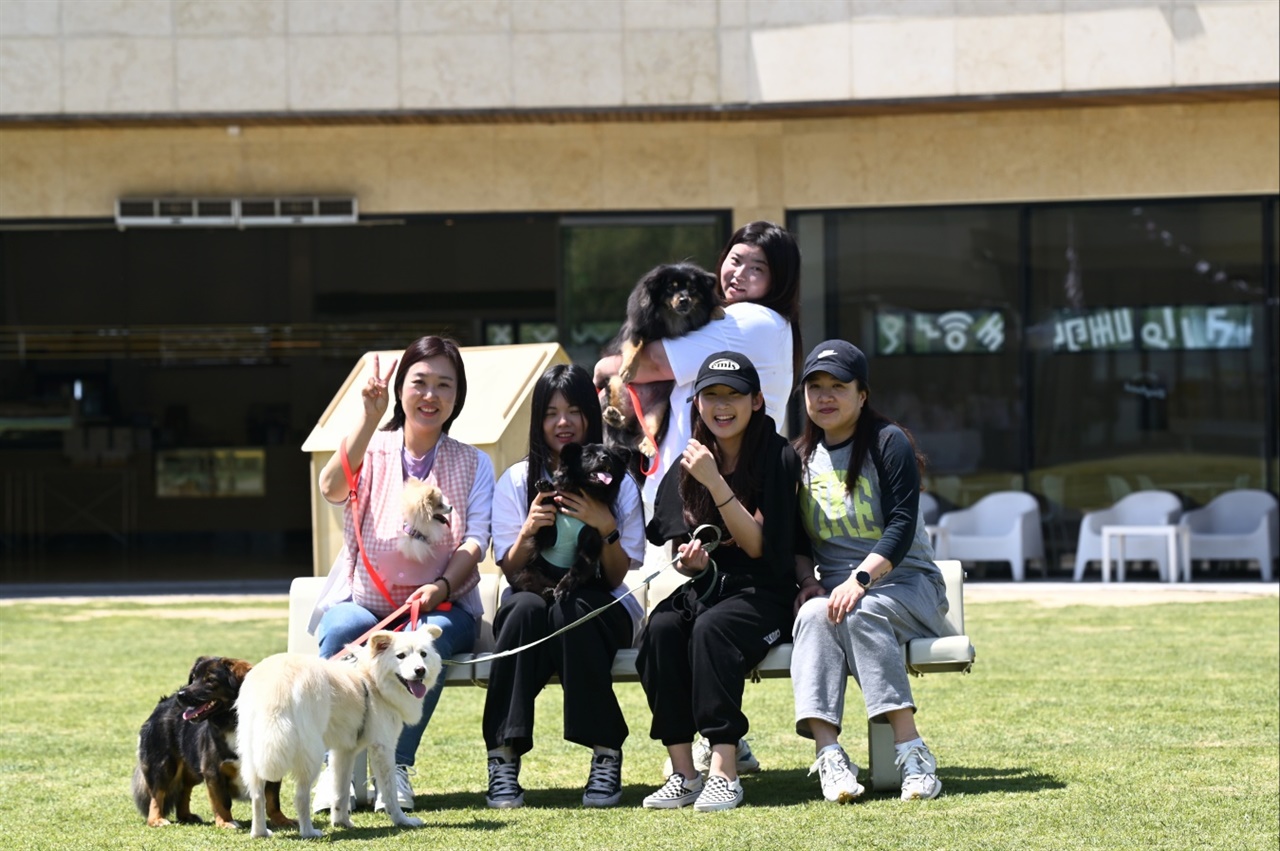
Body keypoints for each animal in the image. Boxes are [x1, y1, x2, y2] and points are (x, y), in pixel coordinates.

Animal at [235, 624, 445, 834]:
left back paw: (260, 833)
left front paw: (341, 821)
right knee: (300, 796)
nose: (420, 670)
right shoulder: (382, 747)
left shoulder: (344, 751)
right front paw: (402, 821)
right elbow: (389, 792)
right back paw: (309, 832)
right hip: (312, 753)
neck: (371, 679)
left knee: (257, 796)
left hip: (254, 752)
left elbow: (340, 791)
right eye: (401, 656)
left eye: (423, 654)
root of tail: (277, 683)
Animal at [509, 440, 629, 601]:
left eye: (609, 455)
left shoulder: (590, 544)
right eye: (587, 456)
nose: (605, 458)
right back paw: (546, 591)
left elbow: (576, 569)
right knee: (529, 581)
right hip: (525, 571)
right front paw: (546, 487)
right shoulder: (546, 534)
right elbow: (548, 513)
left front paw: (563, 588)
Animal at [601, 263, 727, 465]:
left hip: (659, 409)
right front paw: (629, 369)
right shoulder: (636, 330)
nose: (683, 300)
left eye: (692, 288)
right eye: (670, 288)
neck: (672, 316)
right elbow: (635, 345)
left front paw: (717, 311)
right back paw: (613, 416)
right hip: (614, 385)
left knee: (648, 430)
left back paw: (648, 446)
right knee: (618, 420)